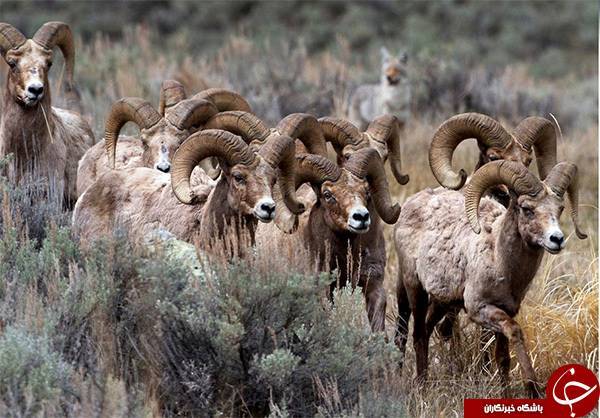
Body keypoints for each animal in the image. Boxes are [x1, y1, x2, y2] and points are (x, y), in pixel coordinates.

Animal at [394, 159, 584, 396]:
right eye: (527, 209)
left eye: (560, 209)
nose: (556, 239)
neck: (499, 259)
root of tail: (409, 205)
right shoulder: (480, 309)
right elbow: (515, 331)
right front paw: (532, 388)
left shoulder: (505, 310)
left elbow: (502, 359)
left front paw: (506, 394)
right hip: (414, 289)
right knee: (418, 334)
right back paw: (422, 387)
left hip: (442, 301)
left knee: (428, 330)